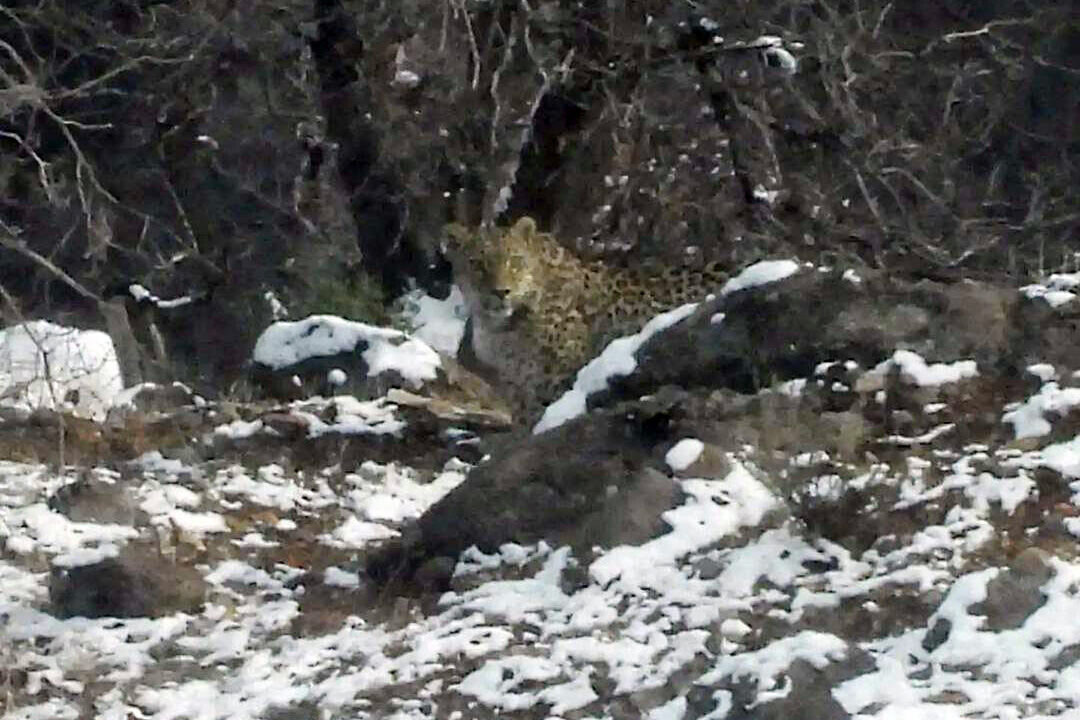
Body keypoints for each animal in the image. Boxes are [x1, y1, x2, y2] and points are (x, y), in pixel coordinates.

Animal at [442, 220, 730, 423]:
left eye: (515, 261)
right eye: (477, 264)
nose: (501, 292)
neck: (498, 329)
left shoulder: (555, 383)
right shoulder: (518, 389)